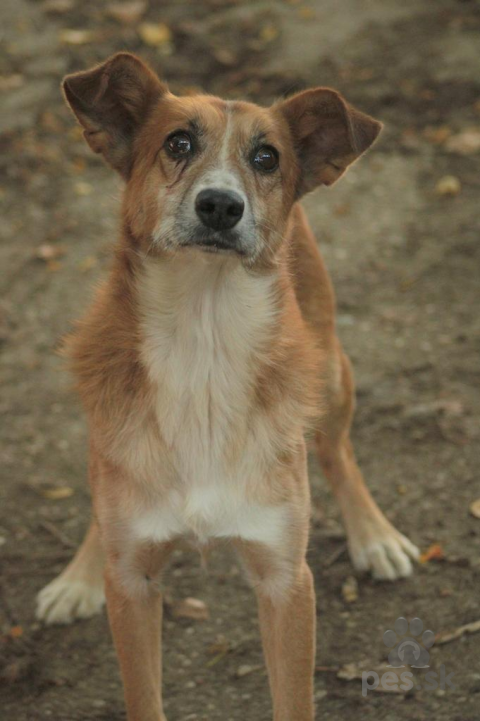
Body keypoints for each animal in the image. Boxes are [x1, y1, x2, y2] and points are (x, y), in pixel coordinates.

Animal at [37, 53, 418, 716]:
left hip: (329, 369)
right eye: (177, 143)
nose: (220, 205)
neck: (203, 341)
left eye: (266, 157)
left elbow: (294, 700)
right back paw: (77, 575)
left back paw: (375, 535)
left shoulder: (285, 580)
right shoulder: (133, 585)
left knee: (338, 451)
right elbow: (144, 695)